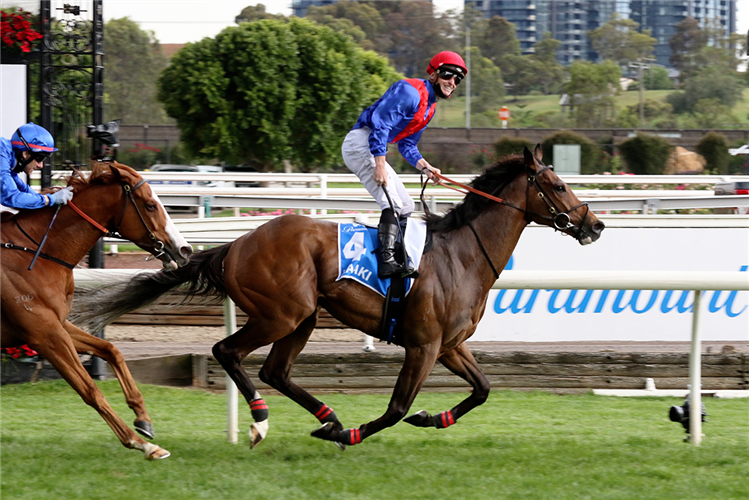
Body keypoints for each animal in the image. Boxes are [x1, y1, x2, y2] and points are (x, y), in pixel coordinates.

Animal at [0, 161, 193, 460]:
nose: (185, 249)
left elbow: (110, 350)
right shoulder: (44, 335)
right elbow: (90, 389)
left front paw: (143, 420)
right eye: (151, 205)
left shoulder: (59, 325)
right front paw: (141, 443)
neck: (35, 252)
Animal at [73, 146, 604, 450]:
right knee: (228, 352)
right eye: (558, 185)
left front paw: (433, 418)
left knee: (275, 371)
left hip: (304, 316)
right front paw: (358, 433)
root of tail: (235, 245)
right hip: (281, 313)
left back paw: (326, 420)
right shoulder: (424, 345)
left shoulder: (450, 345)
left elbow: (482, 389)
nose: (595, 224)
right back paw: (263, 421)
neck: (462, 254)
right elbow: (396, 407)